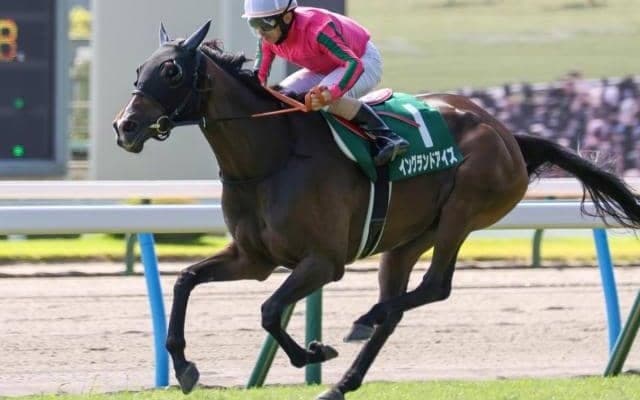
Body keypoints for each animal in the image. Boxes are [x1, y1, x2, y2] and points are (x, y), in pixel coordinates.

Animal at [113, 21, 640, 400]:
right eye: (139, 68)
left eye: (172, 71)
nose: (125, 126)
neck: (272, 157)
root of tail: (507, 133)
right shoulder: (254, 258)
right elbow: (186, 281)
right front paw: (184, 366)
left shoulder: (324, 261)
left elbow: (269, 310)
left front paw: (312, 352)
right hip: (407, 239)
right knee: (400, 305)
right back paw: (342, 381)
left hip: (463, 213)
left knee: (434, 287)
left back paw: (362, 321)